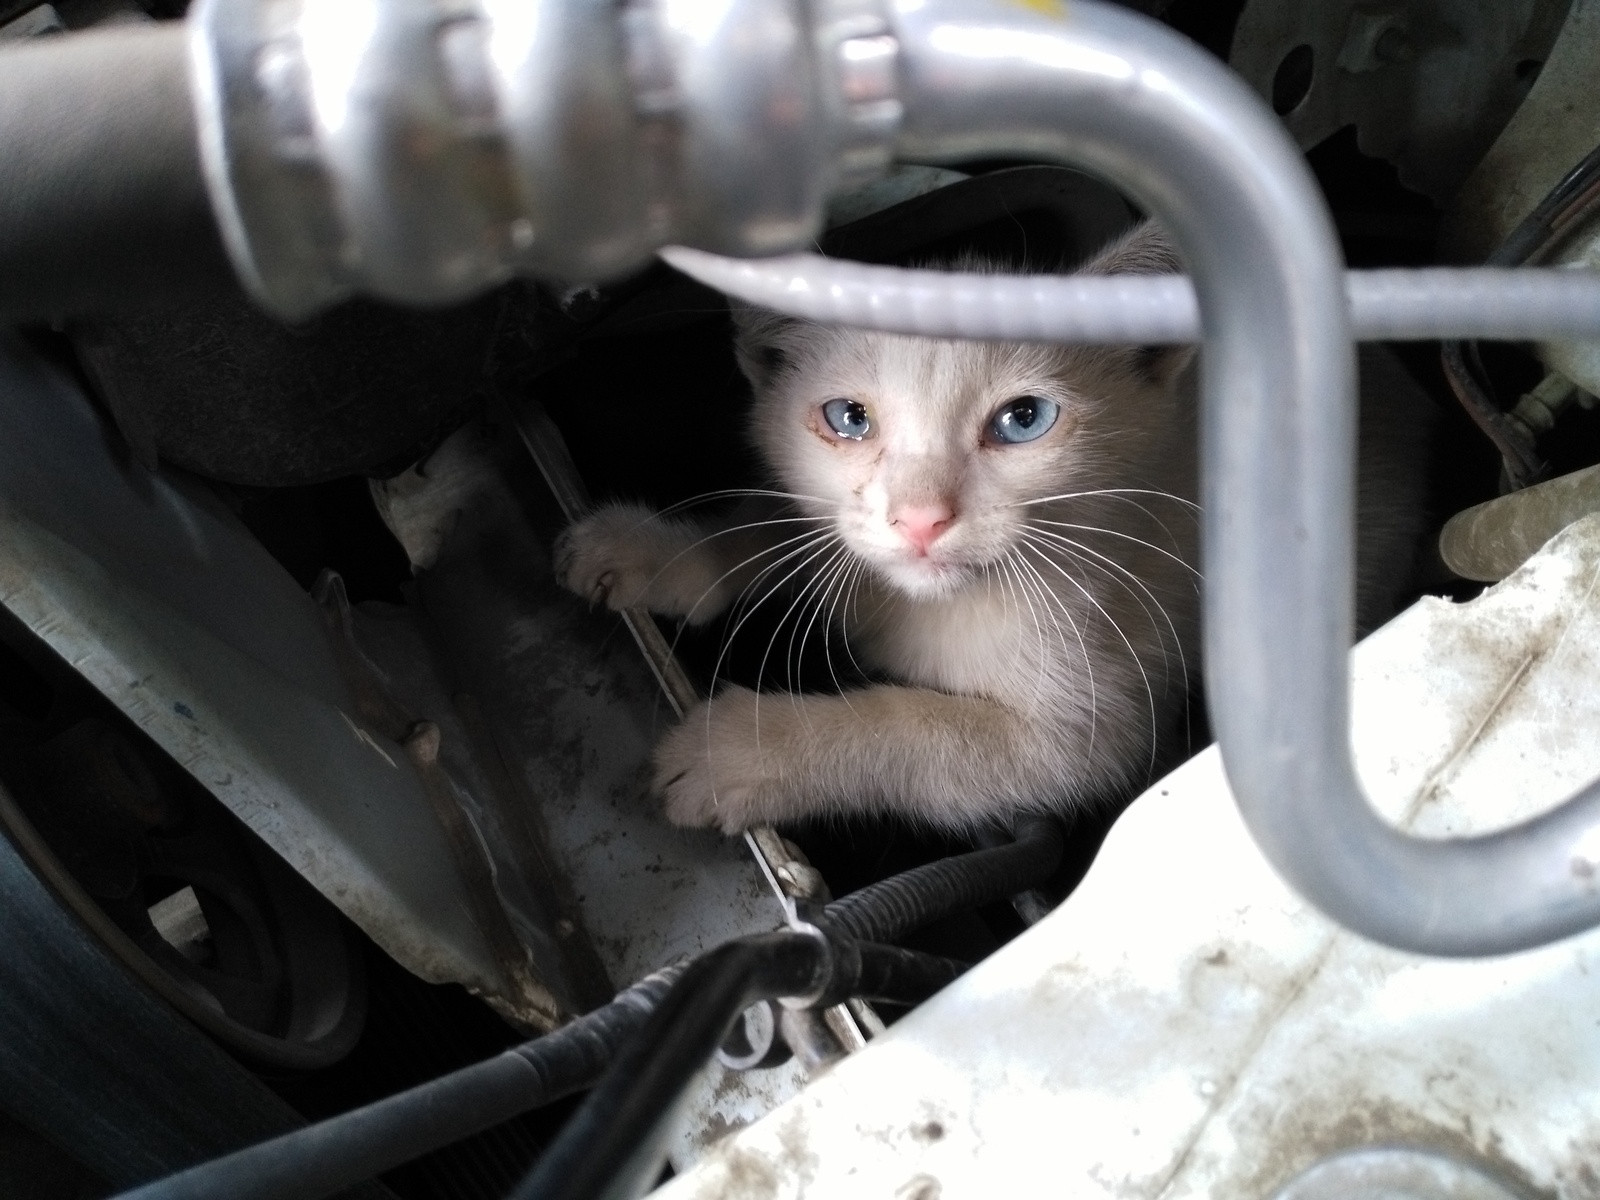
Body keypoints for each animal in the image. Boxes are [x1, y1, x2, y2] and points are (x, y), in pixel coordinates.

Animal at [556, 230, 1433, 838]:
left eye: (1024, 420)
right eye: (848, 418)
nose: (920, 518)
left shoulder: (1086, 724)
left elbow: (913, 731)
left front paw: (739, 751)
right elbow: (776, 525)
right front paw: (653, 552)